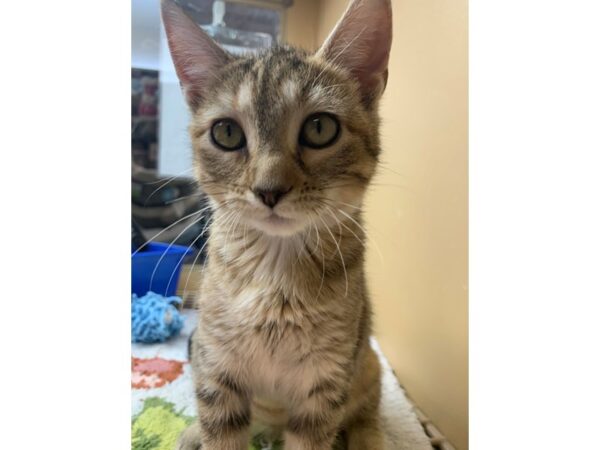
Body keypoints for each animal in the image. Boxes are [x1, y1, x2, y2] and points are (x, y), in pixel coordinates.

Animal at [159, 0, 394, 448]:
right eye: (226, 132)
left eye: (320, 127)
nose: (269, 190)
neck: (274, 274)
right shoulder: (217, 371)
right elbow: (221, 430)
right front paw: (202, 431)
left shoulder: (323, 388)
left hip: (367, 364)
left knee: (368, 412)